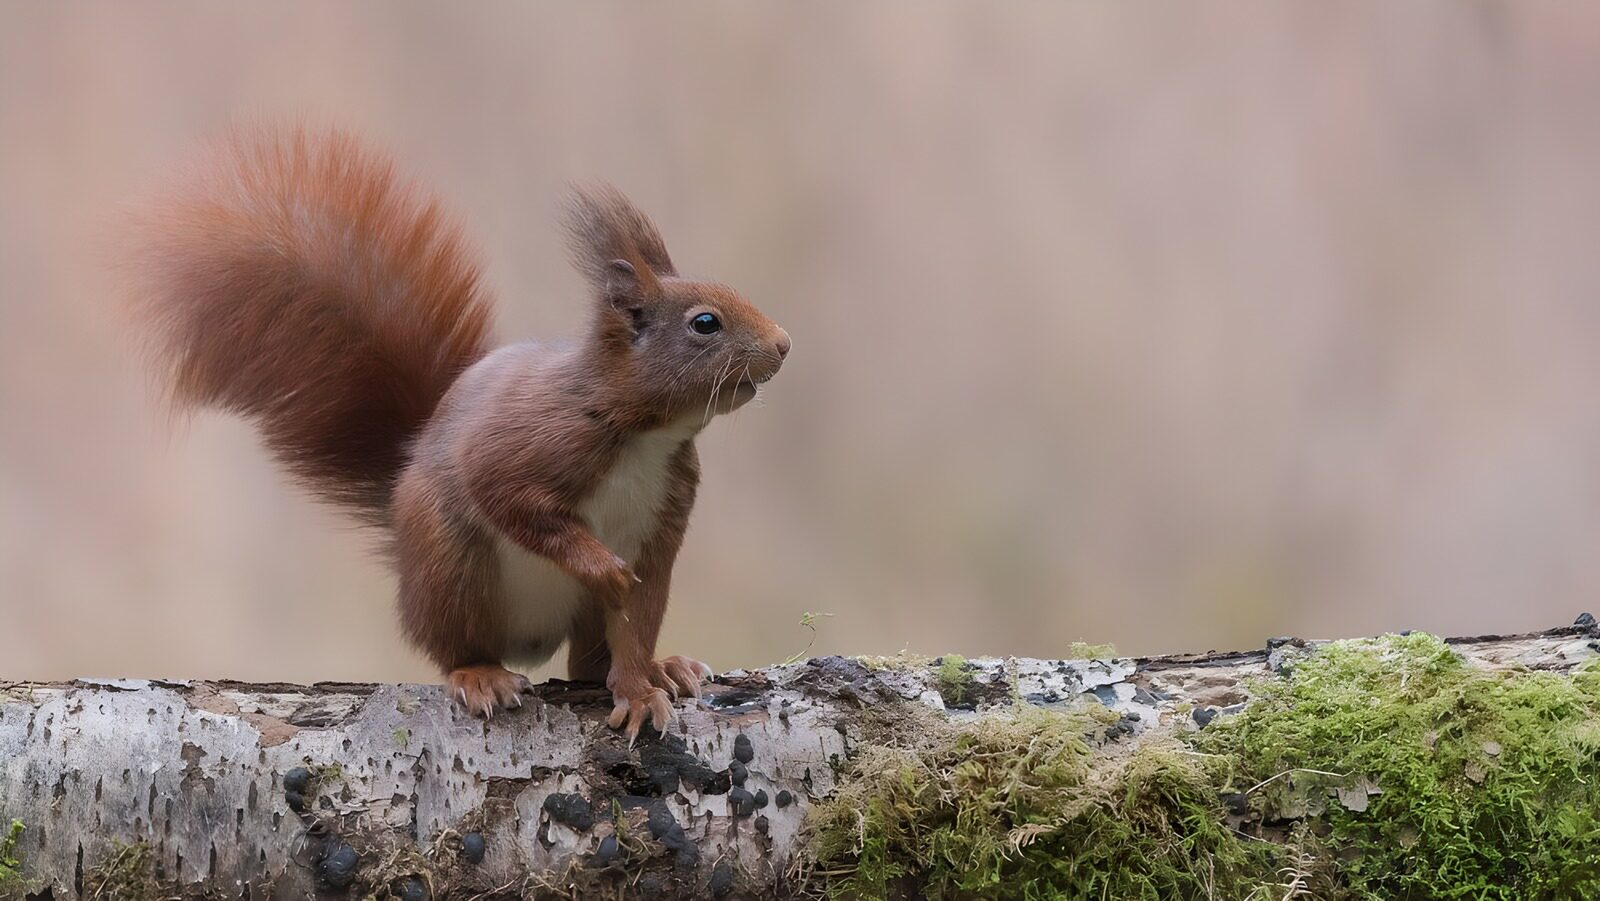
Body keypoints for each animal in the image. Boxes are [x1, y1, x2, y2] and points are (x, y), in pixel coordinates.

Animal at [121, 125, 790, 739]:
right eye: (705, 323)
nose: (784, 345)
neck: (647, 436)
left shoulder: (663, 519)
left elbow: (636, 617)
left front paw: (639, 690)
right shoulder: (534, 441)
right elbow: (511, 498)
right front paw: (602, 567)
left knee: (588, 660)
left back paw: (665, 667)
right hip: (449, 563)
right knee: (454, 645)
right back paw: (481, 675)